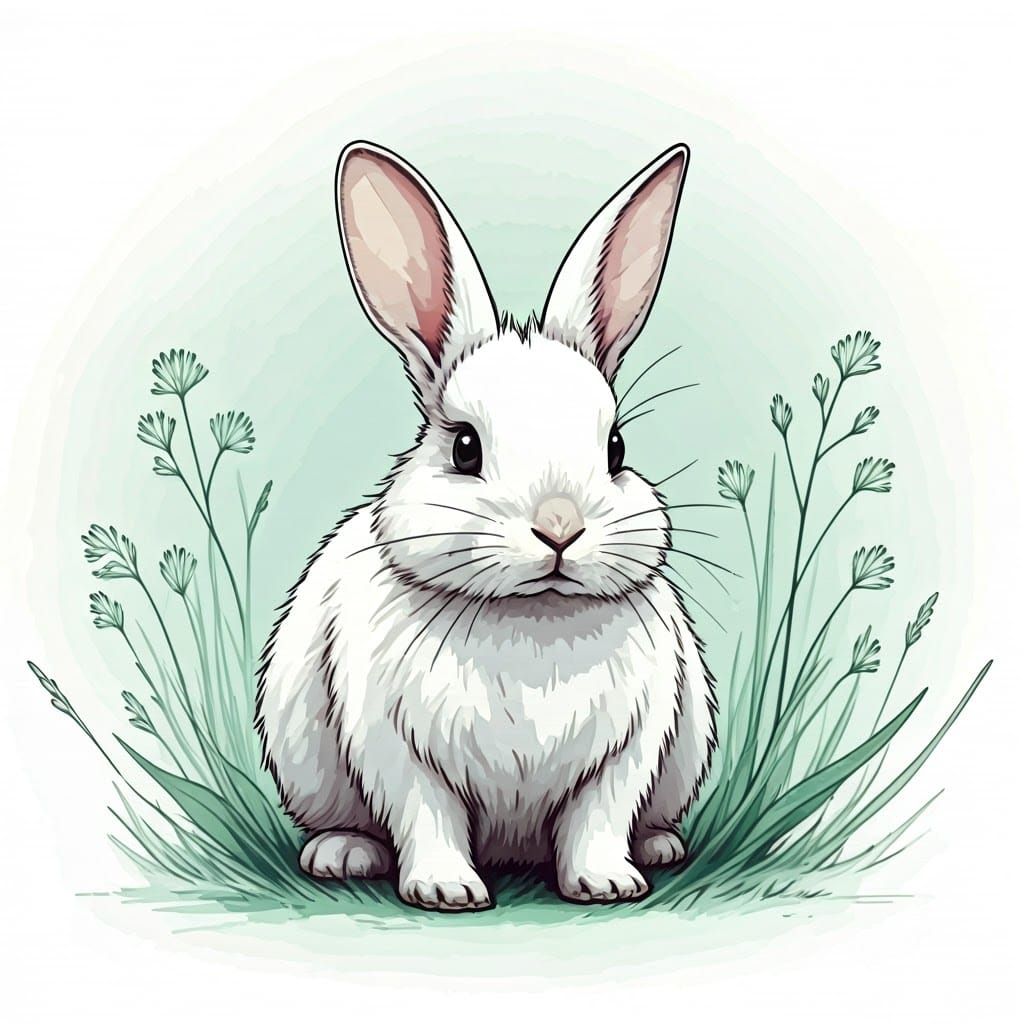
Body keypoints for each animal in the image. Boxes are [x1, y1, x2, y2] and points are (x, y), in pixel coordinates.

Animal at [255, 140, 717, 912]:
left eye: (616, 448)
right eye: (464, 447)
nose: (559, 526)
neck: (533, 622)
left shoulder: (630, 746)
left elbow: (598, 818)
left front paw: (608, 883)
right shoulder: (396, 746)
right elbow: (427, 816)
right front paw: (447, 891)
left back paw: (659, 846)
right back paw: (342, 854)